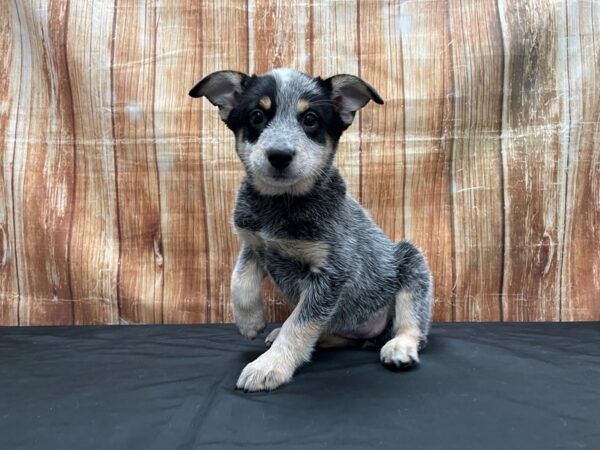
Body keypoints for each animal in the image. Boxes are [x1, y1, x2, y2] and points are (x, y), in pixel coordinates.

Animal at [190, 68, 434, 392]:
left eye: (310, 119)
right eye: (256, 115)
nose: (279, 155)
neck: (281, 204)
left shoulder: (331, 272)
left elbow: (299, 325)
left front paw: (269, 366)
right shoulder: (254, 243)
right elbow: (239, 281)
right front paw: (250, 322)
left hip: (410, 260)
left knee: (411, 322)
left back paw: (400, 347)